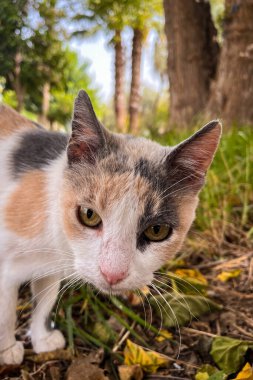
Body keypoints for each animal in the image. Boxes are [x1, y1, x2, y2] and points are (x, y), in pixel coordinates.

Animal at [0, 90, 221, 366]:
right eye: (89, 215)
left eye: (157, 230)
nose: (112, 274)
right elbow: (6, 312)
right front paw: (7, 350)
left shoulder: (50, 267)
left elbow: (46, 299)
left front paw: (42, 338)